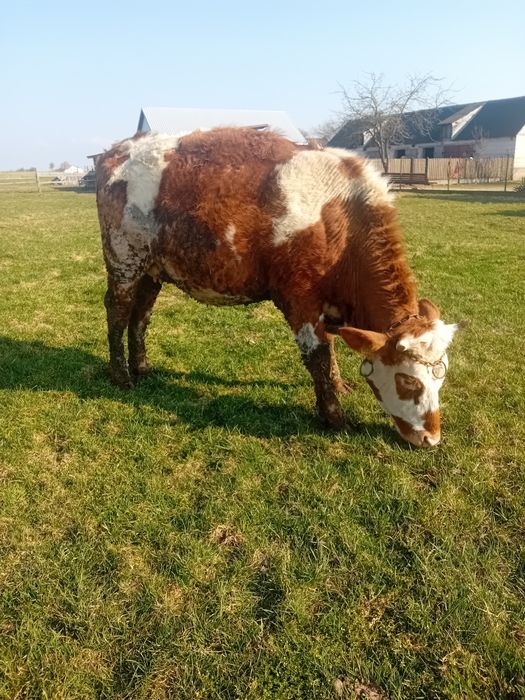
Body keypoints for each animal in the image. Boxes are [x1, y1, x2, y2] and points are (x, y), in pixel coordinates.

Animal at [96, 127, 463, 447]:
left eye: (441, 377)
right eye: (408, 380)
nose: (431, 439)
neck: (340, 219)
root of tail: (121, 148)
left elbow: (331, 351)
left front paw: (340, 385)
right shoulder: (298, 298)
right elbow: (318, 355)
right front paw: (335, 418)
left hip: (152, 269)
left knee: (141, 316)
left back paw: (142, 367)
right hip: (124, 259)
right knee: (118, 311)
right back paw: (121, 376)